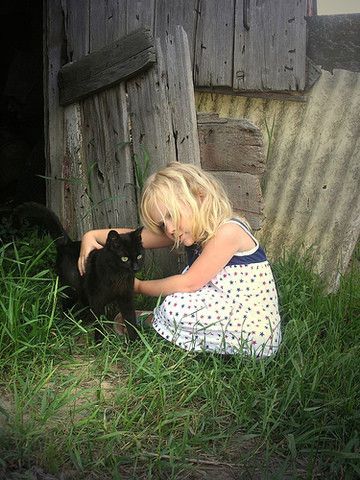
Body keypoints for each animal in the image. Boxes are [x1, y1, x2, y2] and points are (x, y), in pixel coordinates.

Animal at [14, 202, 143, 342]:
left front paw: (136, 341)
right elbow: (99, 323)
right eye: (124, 258)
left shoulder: (126, 297)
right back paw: (66, 325)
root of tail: (67, 243)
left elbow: (130, 320)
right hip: (71, 289)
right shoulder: (97, 300)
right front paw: (99, 342)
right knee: (65, 306)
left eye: (139, 256)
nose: (136, 267)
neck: (117, 276)